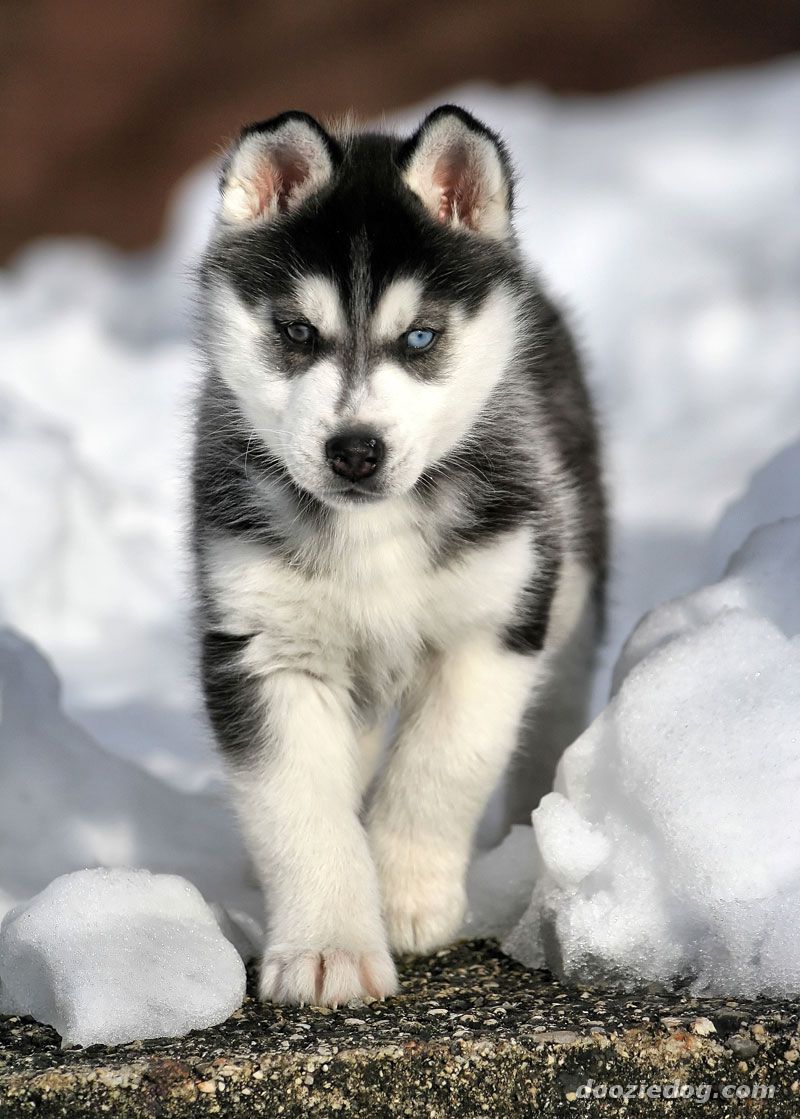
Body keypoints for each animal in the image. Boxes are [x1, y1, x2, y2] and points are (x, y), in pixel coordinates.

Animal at [193, 106, 608, 1007]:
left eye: (420, 337)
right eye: (296, 333)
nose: (355, 450)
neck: (371, 532)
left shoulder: (492, 623)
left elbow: (441, 765)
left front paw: (407, 895)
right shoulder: (266, 646)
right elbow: (298, 802)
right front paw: (326, 947)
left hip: (570, 587)